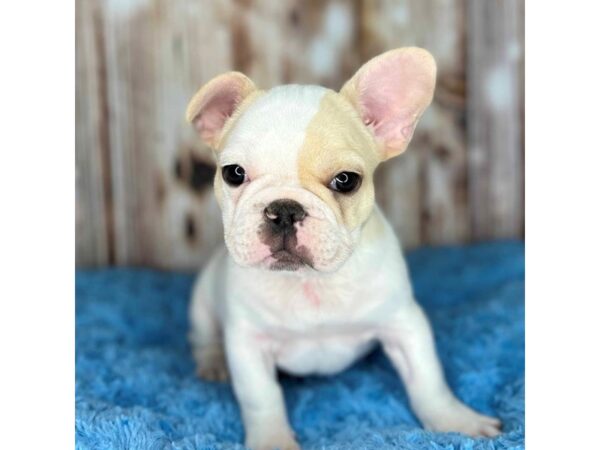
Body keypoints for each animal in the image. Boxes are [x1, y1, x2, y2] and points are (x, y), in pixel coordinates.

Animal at [186, 47, 502, 448]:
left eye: (346, 181)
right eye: (234, 173)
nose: (284, 210)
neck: (311, 283)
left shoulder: (404, 324)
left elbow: (428, 380)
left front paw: (457, 421)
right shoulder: (248, 343)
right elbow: (262, 398)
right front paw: (272, 440)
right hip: (202, 304)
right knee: (203, 336)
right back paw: (212, 363)